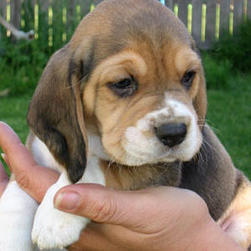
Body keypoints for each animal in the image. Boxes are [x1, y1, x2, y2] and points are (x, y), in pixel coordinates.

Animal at [0, 0, 250, 250]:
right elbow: (17, 195)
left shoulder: (155, 170)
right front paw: (9, 235)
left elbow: (103, 166)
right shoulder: (37, 154)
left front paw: (56, 216)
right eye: (123, 83)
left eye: (188, 76)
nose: (174, 133)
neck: (94, 136)